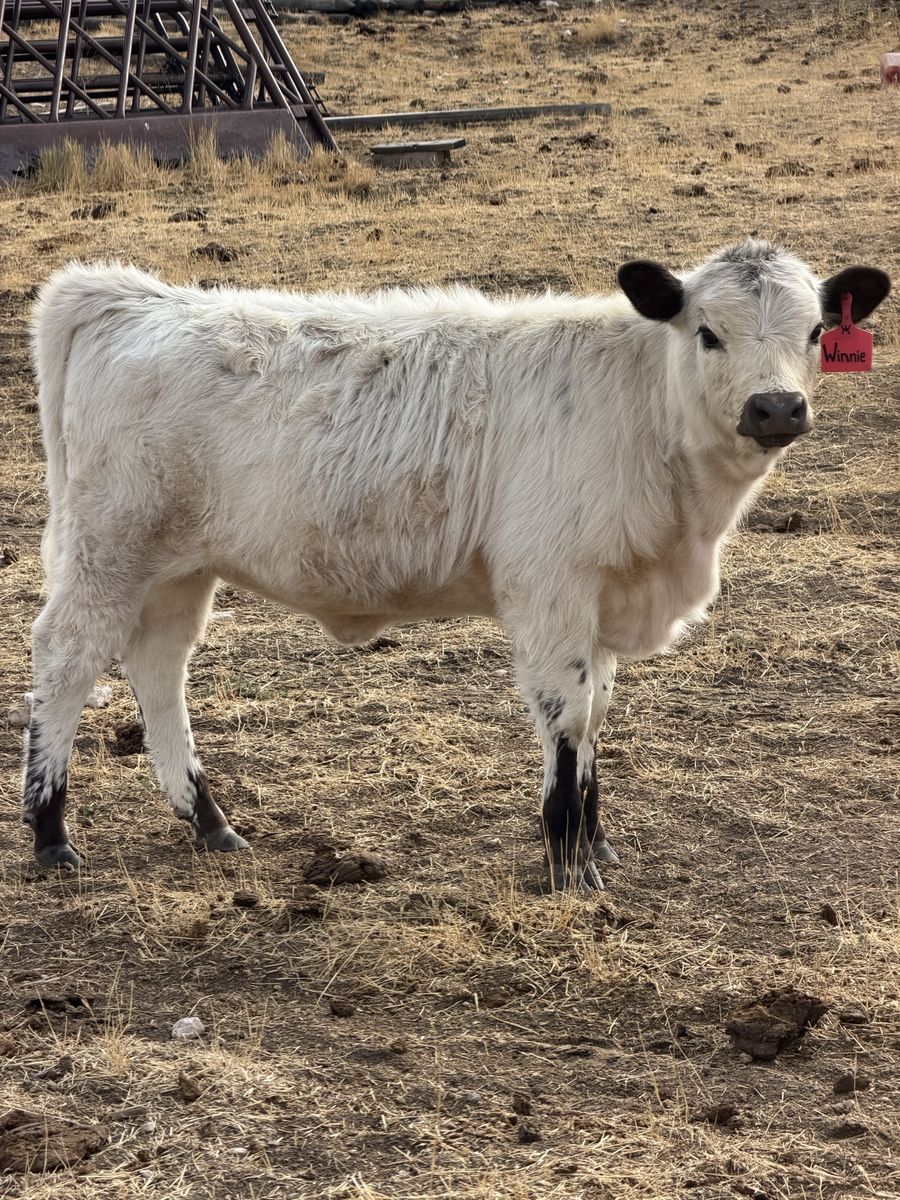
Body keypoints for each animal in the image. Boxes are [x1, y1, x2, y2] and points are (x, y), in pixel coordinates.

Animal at [21, 240, 890, 889]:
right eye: (708, 332)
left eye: (816, 332)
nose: (776, 407)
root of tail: (133, 296)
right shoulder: (550, 592)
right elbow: (568, 717)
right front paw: (568, 863)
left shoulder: (601, 600)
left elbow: (599, 713)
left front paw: (595, 840)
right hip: (108, 551)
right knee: (66, 661)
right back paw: (50, 832)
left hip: (177, 568)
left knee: (158, 666)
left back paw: (207, 820)